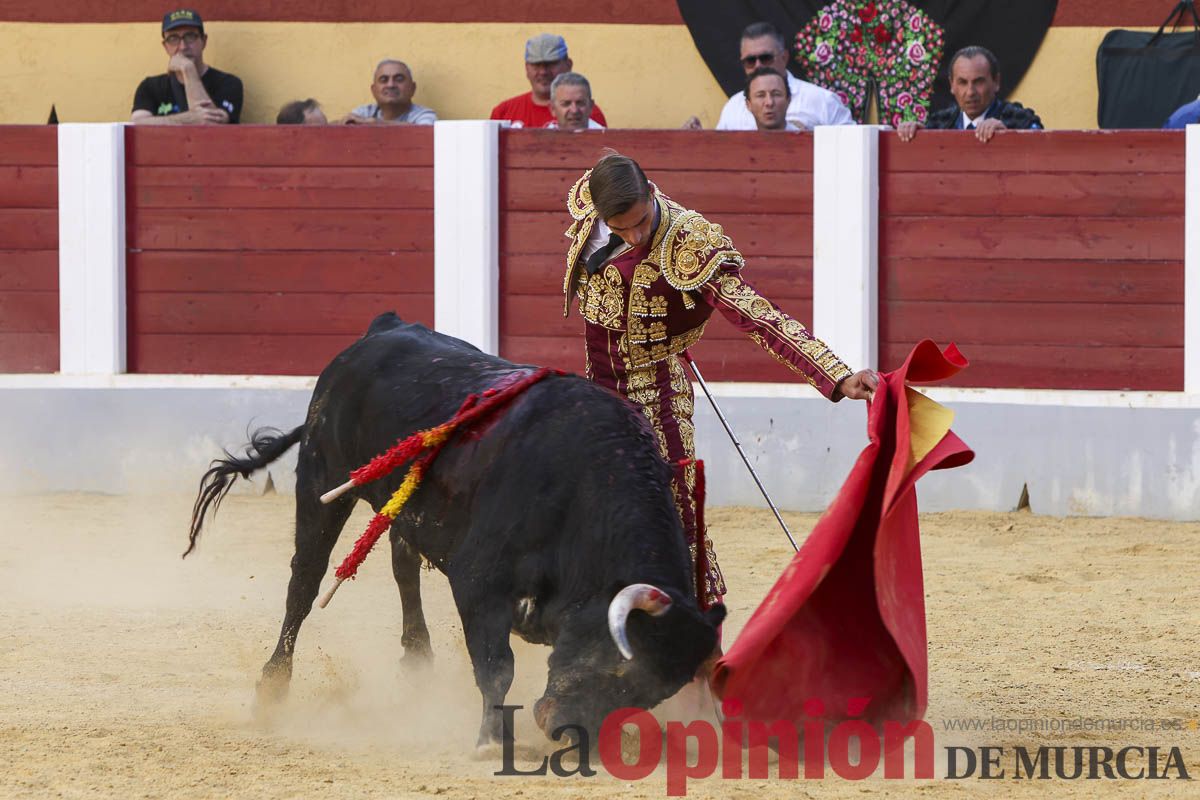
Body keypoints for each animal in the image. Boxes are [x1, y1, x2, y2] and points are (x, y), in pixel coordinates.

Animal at [187, 311, 720, 743]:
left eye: (649, 695)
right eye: (618, 667)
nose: (561, 729)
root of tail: (380, 329)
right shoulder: (478, 582)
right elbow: (496, 668)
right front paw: (491, 740)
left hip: (404, 504)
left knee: (402, 564)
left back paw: (417, 661)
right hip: (321, 478)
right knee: (305, 582)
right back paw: (272, 688)